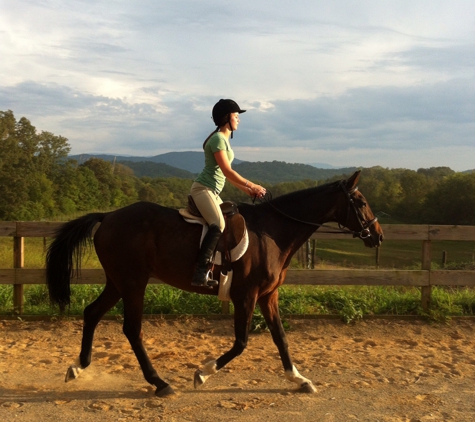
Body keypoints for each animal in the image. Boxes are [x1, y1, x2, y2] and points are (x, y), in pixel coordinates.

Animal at [46, 168, 384, 396]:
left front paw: (299, 379)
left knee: (92, 313)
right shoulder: (246, 295)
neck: (272, 232)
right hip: (133, 283)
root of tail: (108, 216)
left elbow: (281, 338)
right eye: (361, 201)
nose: (377, 235)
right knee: (131, 329)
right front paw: (203, 373)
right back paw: (160, 383)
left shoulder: (268, 296)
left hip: (118, 282)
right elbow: (241, 342)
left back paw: (77, 367)